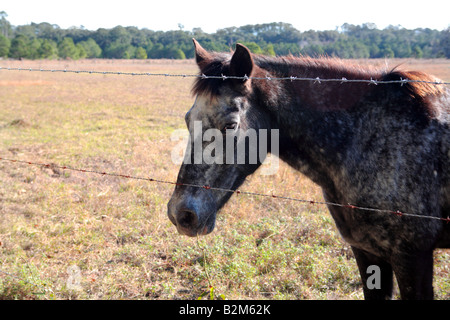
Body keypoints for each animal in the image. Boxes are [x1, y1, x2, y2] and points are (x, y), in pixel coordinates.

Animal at [168, 40, 450, 300]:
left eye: (230, 125)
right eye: (187, 119)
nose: (181, 215)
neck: (365, 137)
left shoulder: (412, 257)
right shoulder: (367, 252)